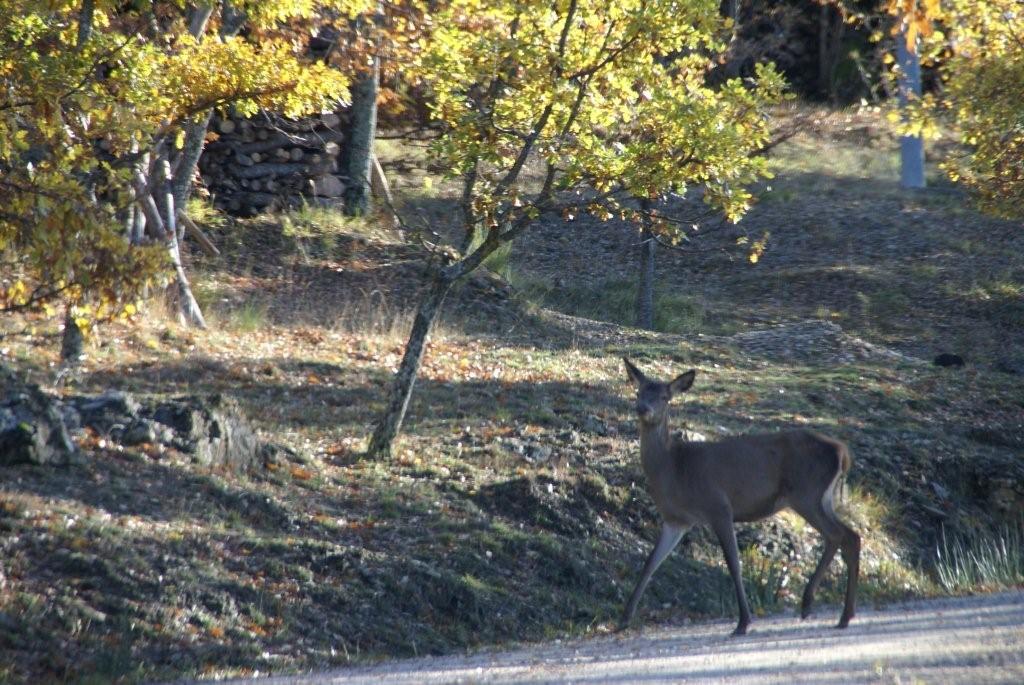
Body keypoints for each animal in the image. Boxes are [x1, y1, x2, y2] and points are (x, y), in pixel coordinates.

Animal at [618, 358, 860, 634]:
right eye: (639, 392)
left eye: (664, 397)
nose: (642, 408)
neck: (673, 468)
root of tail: (842, 452)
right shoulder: (676, 520)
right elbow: (651, 563)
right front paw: (624, 620)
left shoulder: (719, 506)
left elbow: (733, 562)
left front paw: (743, 621)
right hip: (822, 498)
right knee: (850, 536)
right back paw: (832, 610)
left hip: (806, 493)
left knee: (838, 535)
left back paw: (829, 611)